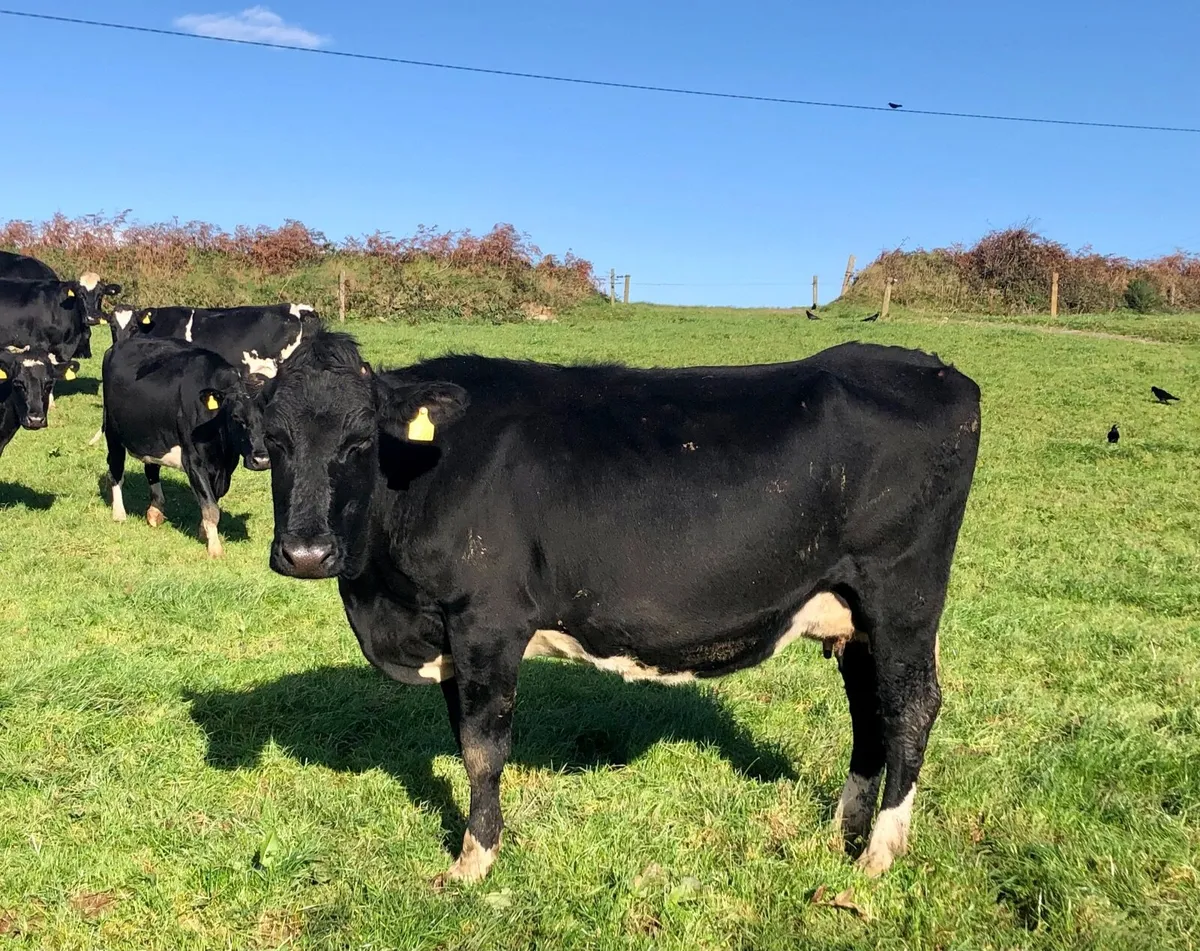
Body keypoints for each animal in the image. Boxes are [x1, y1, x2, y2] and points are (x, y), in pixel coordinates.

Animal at [102, 336, 271, 557]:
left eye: (268, 415)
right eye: (236, 417)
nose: (262, 460)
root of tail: (117, 346)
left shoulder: (225, 467)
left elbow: (213, 500)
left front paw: (203, 531)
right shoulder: (193, 461)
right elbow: (211, 507)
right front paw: (214, 548)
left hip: (153, 436)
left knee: (151, 469)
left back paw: (155, 510)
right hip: (113, 433)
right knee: (116, 469)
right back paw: (119, 513)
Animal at [262, 328, 981, 884]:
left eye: (360, 439)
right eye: (272, 440)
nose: (305, 552)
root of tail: (934, 368)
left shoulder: (486, 619)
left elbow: (481, 747)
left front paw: (474, 861)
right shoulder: (447, 632)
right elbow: (462, 733)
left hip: (903, 593)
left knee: (910, 708)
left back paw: (879, 854)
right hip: (854, 612)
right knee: (869, 711)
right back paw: (841, 829)